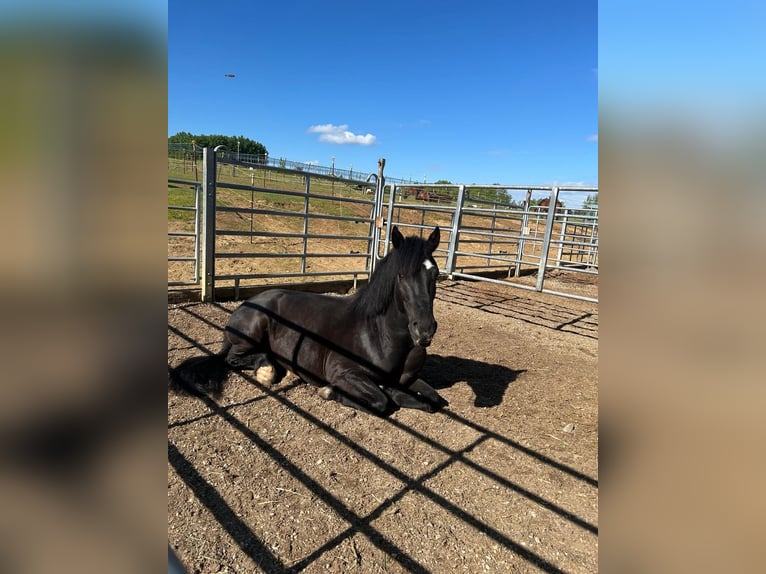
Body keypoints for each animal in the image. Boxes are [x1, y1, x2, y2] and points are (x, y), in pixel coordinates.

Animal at [170, 226, 448, 415]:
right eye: (401, 275)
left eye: (435, 273)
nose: (425, 331)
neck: (379, 335)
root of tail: (249, 302)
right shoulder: (342, 372)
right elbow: (382, 402)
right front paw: (329, 391)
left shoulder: (409, 380)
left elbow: (433, 400)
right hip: (251, 334)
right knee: (234, 358)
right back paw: (266, 371)